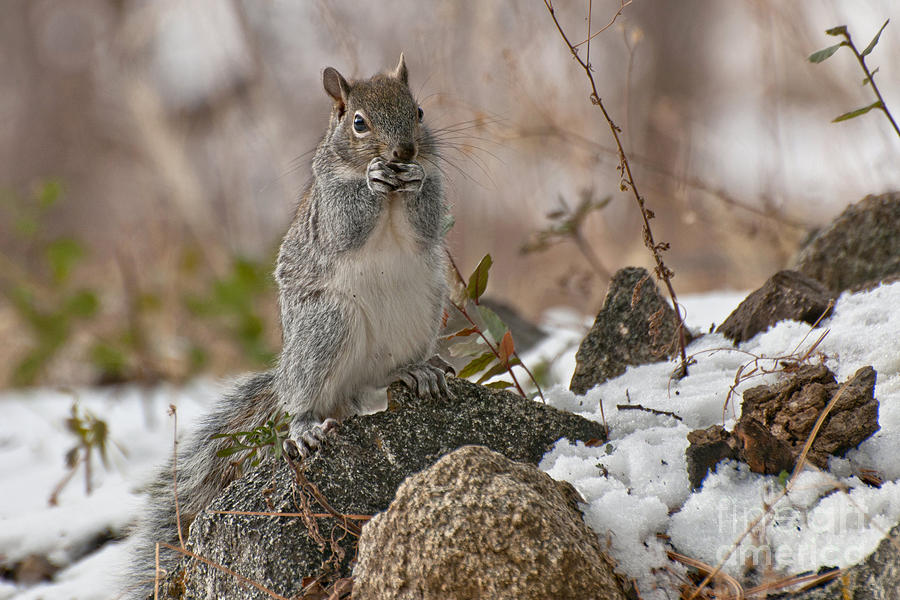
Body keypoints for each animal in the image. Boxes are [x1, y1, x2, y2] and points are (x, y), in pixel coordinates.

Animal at [126, 55, 450, 596]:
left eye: (420, 111)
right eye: (358, 123)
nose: (404, 151)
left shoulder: (433, 200)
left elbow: (427, 218)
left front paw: (416, 176)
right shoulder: (329, 206)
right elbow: (346, 221)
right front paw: (373, 179)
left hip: (425, 306)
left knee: (378, 380)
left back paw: (415, 371)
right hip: (325, 325)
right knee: (312, 398)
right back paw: (303, 426)